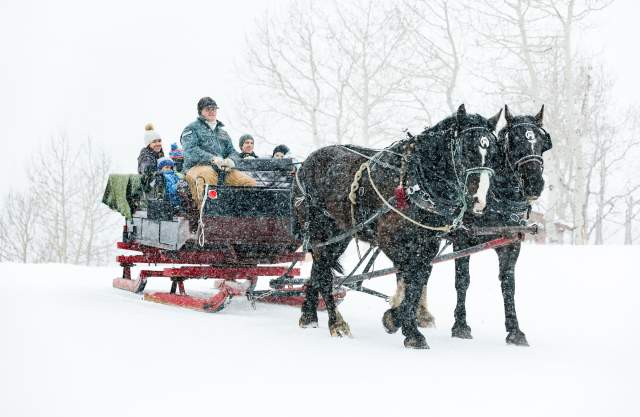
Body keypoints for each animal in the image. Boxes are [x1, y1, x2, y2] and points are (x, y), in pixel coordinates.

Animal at [296, 104, 504, 348]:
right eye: (466, 150)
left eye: (494, 154)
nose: (478, 200)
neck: (412, 183)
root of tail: (305, 163)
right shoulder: (392, 242)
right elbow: (410, 277)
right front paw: (404, 323)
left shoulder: (427, 245)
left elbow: (418, 279)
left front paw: (403, 322)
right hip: (320, 231)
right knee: (324, 273)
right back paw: (336, 323)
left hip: (339, 235)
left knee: (319, 269)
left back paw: (308, 316)